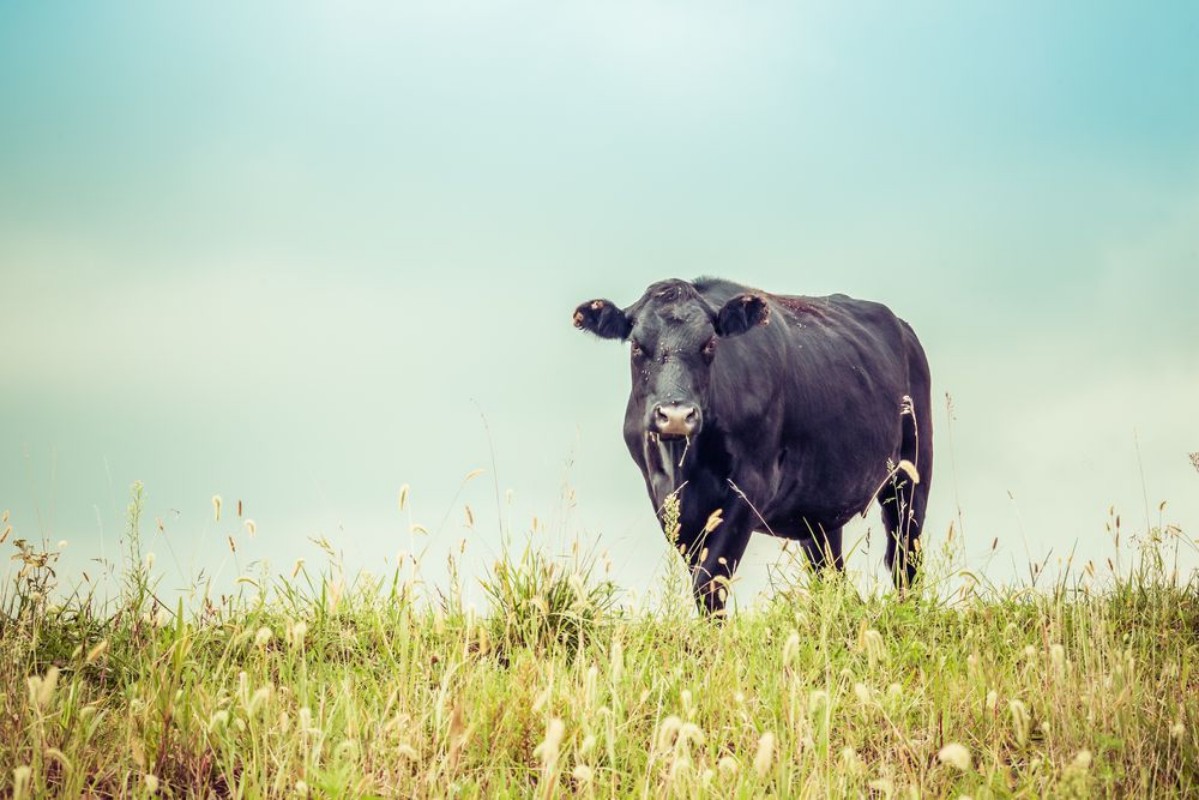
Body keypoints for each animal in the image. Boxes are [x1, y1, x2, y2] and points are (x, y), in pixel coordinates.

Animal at [573, 277, 933, 615]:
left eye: (709, 344)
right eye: (636, 345)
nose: (676, 416)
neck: (684, 465)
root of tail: (903, 328)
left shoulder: (750, 486)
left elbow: (709, 580)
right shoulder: (668, 501)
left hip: (911, 474)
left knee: (904, 559)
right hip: (821, 508)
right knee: (831, 573)